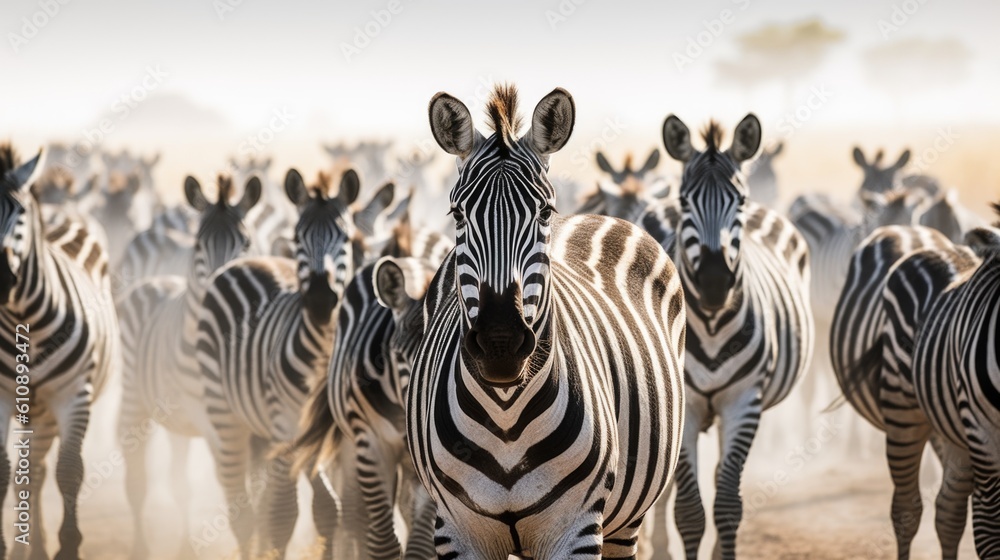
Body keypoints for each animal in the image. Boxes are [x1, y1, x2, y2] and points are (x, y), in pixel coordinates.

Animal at [0, 144, 120, 560]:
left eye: (20, 212)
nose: (0, 275)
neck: (25, 318)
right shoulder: (2, 395)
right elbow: (4, 470)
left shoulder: (73, 394)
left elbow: (69, 470)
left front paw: (68, 547)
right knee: (29, 471)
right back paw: (25, 547)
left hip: (47, 408)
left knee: (36, 469)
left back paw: (34, 547)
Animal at [116, 173, 261, 560]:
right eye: (198, 245)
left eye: (246, 242)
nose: (222, 289)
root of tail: (154, 281)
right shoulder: (215, 422)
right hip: (135, 402)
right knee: (137, 480)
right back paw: (140, 548)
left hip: (179, 424)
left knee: (178, 482)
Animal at [195, 168, 369, 559]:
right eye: (297, 238)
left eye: (345, 238)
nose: (320, 301)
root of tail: (240, 262)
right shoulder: (286, 426)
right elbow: (283, 514)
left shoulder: (346, 436)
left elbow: (335, 509)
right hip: (226, 415)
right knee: (242, 508)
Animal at [405, 84, 686, 559]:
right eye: (458, 215)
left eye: (543, 213)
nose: (500, 343)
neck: (505, 418)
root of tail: (595, 214)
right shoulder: (457, 531)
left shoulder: (576, 528)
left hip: (625, 522)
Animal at [644, 114, 812, 559]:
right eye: (686, 202)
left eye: (738, 201)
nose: (715, 283)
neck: (712, 324)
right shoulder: (684, 404)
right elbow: (688, 509)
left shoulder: (743, 400)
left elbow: (727, 502)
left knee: (721, 472)